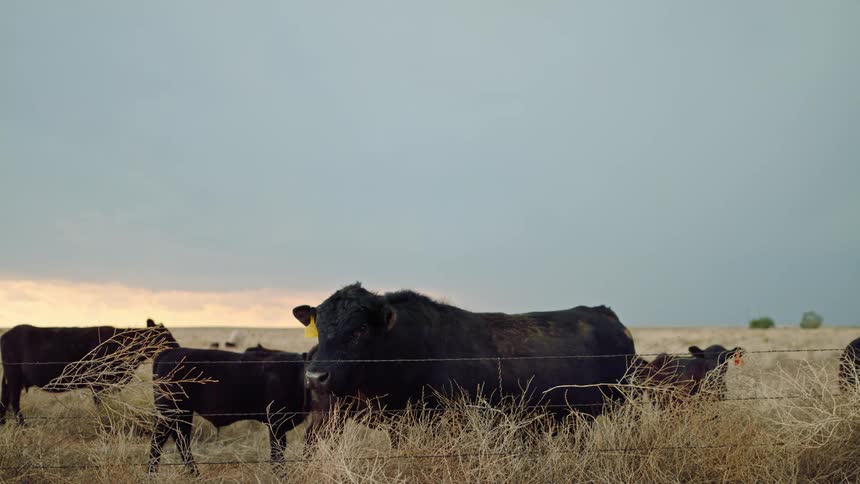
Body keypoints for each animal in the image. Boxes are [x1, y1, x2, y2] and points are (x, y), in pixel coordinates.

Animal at [0, 319, 178, 425]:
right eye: (165, 336)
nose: (177, 347)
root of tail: (8, 333)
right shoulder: (97, 383)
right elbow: (100, 404)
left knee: (6, 398)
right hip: (14, 375)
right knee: (14, 402)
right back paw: (23, 426)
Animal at [148, 346, 310, 475]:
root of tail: (171, 352)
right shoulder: (276, 423)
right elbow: (278, 454)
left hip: (183, 412)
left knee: (181, 438)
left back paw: (195, 474)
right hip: (169, 411)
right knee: (159, 441)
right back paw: (152, 475)